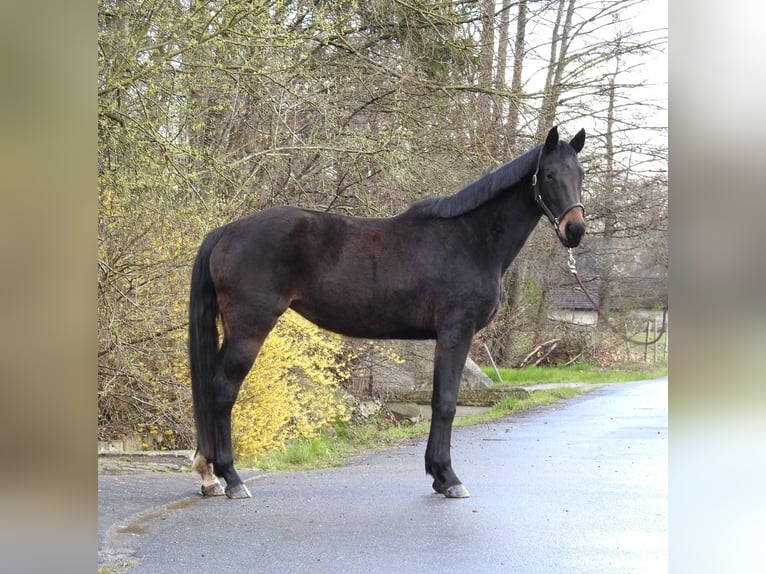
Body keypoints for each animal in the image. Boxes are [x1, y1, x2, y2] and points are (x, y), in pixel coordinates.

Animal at [189, 125, 587, 499]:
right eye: (549, 174)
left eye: (580, 174)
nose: (576, 230)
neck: (472, 239)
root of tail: (226, 232)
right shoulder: (457, 332)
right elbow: (446, 403)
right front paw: (450, 478)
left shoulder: (445, 338)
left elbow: (438, 400)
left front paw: (438, 476)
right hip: (250, 329)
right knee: (223, 390)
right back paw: (232, 478)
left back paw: (210, 476)